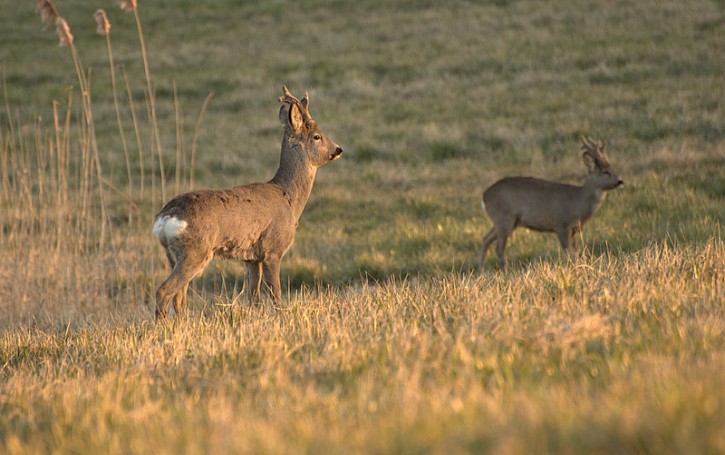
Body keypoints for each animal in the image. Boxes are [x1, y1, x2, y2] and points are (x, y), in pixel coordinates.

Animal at [151, 87, 342, 318]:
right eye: (317, 136)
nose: (338, 149)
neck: (288, 198)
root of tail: (164, 219)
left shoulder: (252, 258)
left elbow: (254, 299)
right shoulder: (272, 249)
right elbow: (276, 296)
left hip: (174, 255)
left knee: (179, 296)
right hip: (195, 251)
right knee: (164, 291)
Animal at [480, 136, 624, 270]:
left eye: (613, 169)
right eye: (606, 172)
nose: (620, 181)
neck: (578, 202)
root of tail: (484, 196)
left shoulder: (574, 229)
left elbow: (576, 253)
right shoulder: (561, 225)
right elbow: (570, 254)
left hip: (506, 221)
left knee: (486, 239)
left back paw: (481, 271)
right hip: (505, 218)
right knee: (499, 248)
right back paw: (506, 271)